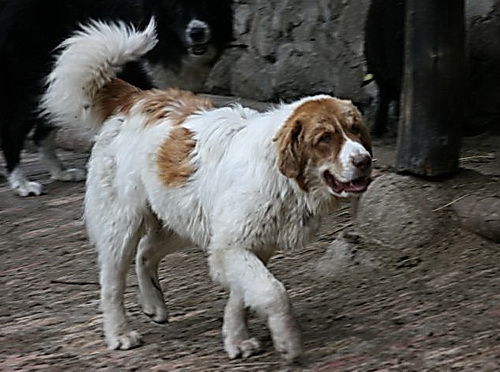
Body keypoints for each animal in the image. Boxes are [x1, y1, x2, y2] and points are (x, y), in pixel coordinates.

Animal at [0, 0, 234, 196]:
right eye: (176, 6)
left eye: (207, 3)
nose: (197, 32)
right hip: (34, 84)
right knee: (12, 132)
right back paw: (21, 182)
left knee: (42, 132)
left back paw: (60, 171)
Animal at [41, 19, 374, 360]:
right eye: (325, 138)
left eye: (355, 130)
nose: (364, 160)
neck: (281, 175)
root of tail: (135, 98)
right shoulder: (231, 246)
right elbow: (272, 292)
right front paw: (287, 340)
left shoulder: (247, 245)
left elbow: (241, 298)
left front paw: (236, 337)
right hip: (121, 226)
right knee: (111, 283)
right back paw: (119, 333)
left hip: (180, 220)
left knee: (145, 253)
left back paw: (153, 304)